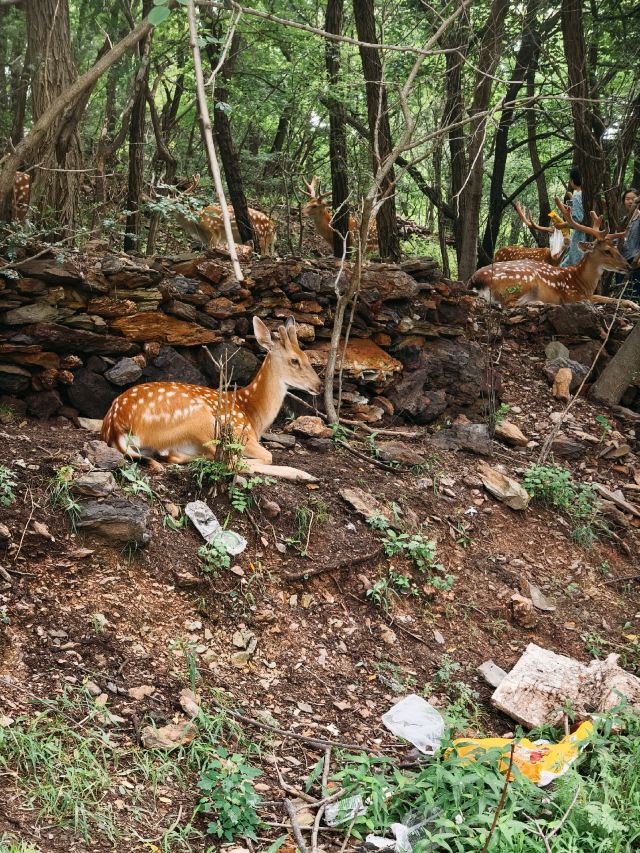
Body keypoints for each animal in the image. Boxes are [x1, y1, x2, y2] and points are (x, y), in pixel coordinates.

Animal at [101, 317, 322, 481]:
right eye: (294, 360)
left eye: (307, 357)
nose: (319, 385)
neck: (252, 413)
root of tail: (116, 427)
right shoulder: (241, 433)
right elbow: (268, 455)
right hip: (202, 419)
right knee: (229, 461)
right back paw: (304, 475)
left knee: (174, 456)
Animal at [470, 197, 636, 309]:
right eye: (607, 251)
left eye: (616, 249)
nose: (628, 266)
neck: (582, 282)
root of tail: (475, 281)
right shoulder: (573, 296)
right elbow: (604, 299)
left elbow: (608, 297)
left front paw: (634, 304)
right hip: (523, 280)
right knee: (507, 303)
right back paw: (539, 302)